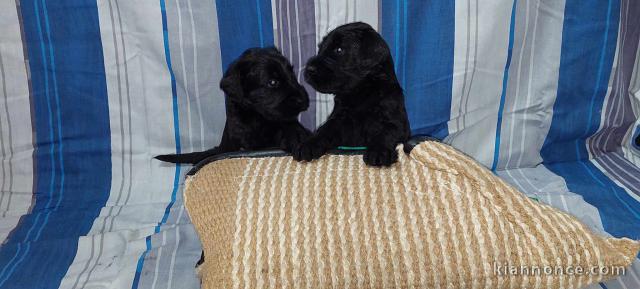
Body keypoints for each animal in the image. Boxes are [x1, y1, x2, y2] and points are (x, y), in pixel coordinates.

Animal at [158, 47, 312, 164]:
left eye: (292, 74)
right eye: (273, 82)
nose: (303, 100)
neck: (258, 118)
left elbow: (291, 128)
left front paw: (297, 140)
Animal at [292, 22, 410, 165]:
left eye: (339, 50)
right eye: (320, 48)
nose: (309, 69)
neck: (361, 91)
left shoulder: (396, 122)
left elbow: (386, 132)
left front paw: (378, 151)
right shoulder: (339, 118)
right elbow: (324, 130)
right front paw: (308, 144)